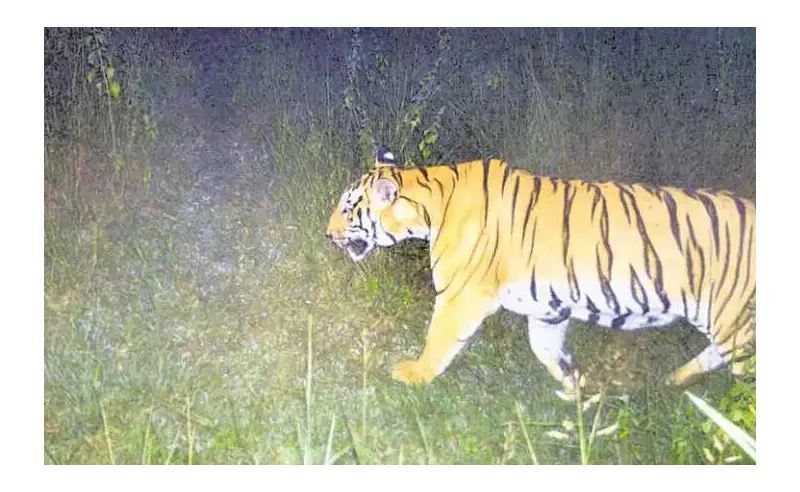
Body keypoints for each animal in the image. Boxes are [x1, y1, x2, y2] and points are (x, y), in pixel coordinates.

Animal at [325, 147, 756, 394]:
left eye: (347, 208)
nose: (327, 234)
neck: (432, 199)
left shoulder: (460, 295)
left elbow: (439, 339)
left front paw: (415, 374)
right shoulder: (548, 307)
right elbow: (545, 350)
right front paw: (575, 386)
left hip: (737, 321)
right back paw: (677, 380)